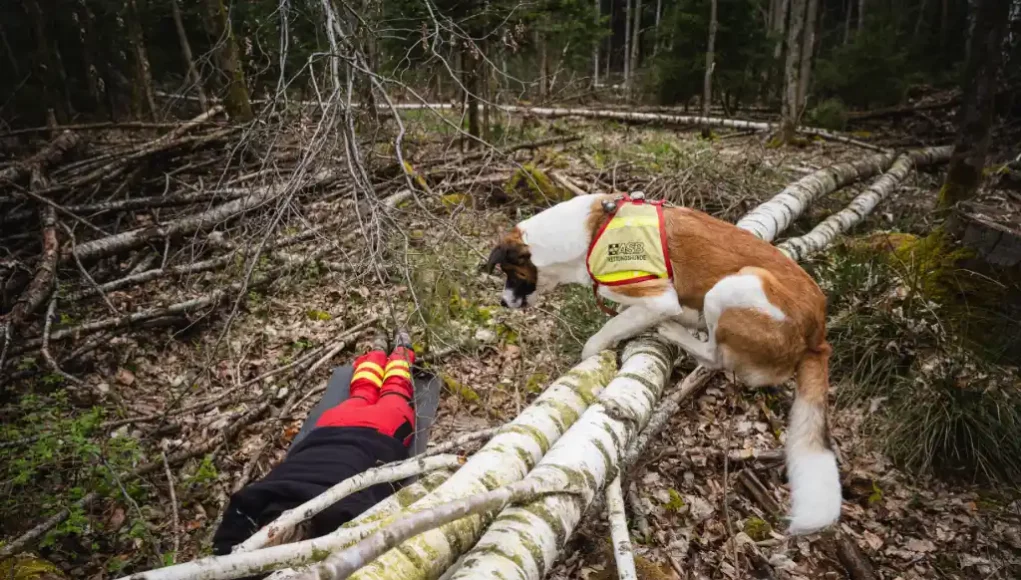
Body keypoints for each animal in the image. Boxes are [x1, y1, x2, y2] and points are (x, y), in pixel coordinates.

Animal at [490, 194, 841, 535]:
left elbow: (605, 332)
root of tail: (818, 337)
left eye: (511, 274)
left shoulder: (658, 298)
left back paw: (675, 330)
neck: (591, 235)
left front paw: (593, 351)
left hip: (735, 286)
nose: (502, 303)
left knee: (714, 356)